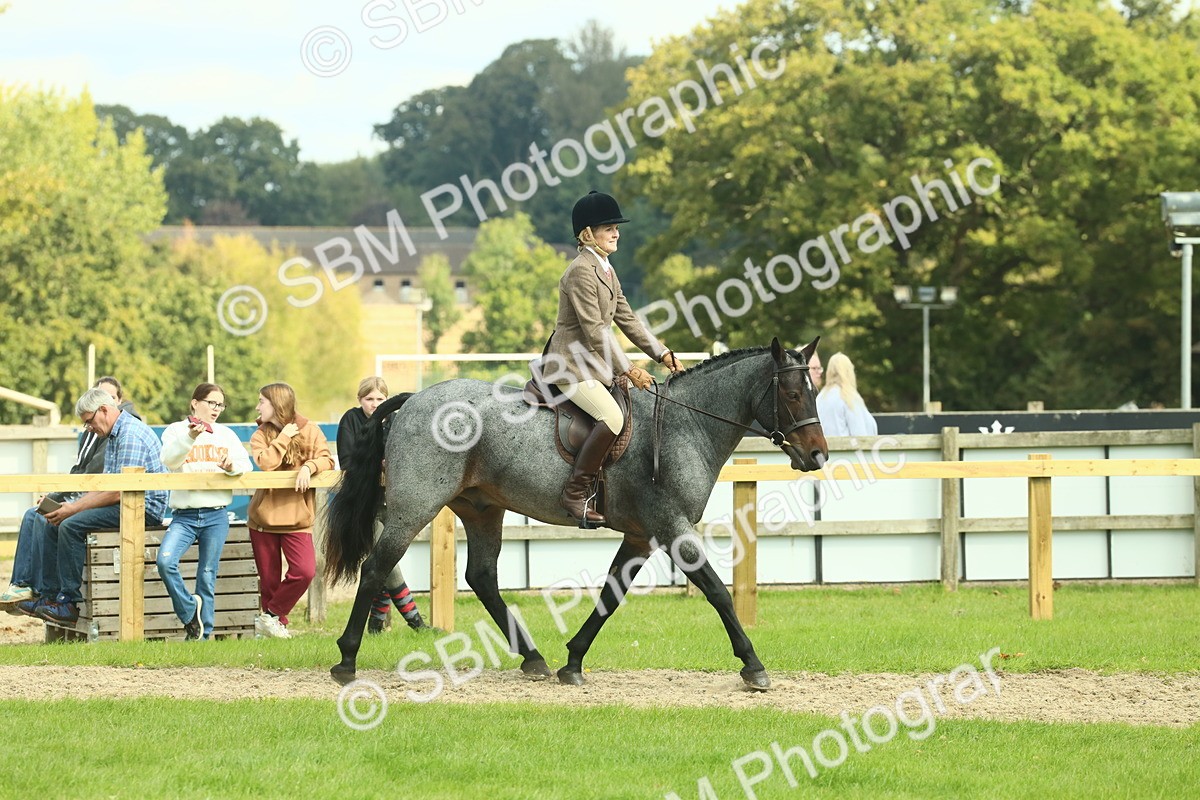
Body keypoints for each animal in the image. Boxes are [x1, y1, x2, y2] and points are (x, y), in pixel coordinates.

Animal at [324, 337, 828, 690]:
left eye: (815, 390)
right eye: (792, 393)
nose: (818, 455)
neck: (686, 424)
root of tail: (412, 400)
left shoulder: (641, 536)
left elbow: (610, 596)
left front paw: (573, 661)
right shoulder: (672, 527)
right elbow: (718, 592)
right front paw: (753, 666)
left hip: (483, 509)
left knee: (482, 577)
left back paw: (534, 659)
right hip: (415, 506)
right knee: (377, 567)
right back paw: (347, 659)